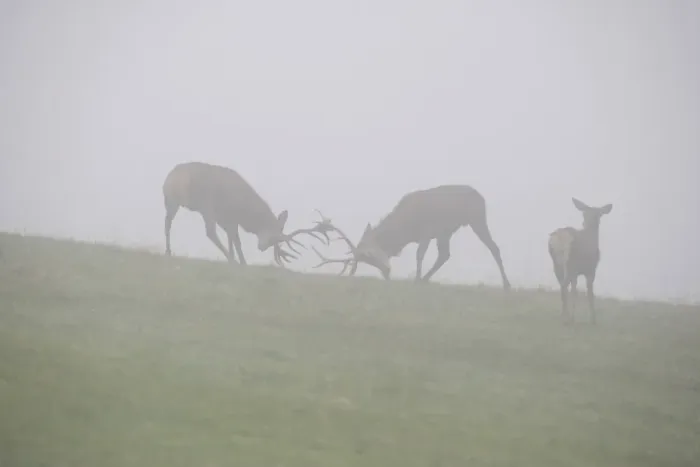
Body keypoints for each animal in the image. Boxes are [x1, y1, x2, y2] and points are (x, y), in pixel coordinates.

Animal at [162, 162, 331, 266]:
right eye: (273, 238)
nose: (262, 247)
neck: (246, 212)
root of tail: (171, 178)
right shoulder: (228, 215)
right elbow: (236, 240)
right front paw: (241, 261)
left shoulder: (225, 218)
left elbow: (231, 238)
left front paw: (234, 258)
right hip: (205, 204)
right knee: (209, 232)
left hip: (172, 201)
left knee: (167, 223)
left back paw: (168, 251)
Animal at [310, 184, 512, 290]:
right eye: (370, 261)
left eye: (369, 256)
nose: (387, 272)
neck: (404, 230)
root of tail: (481, 197)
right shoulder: (433, 233)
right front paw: (418, 278)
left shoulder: (426, 231)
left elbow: (419, 254)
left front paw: (415, 279)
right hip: (446, 231)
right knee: (444, 254)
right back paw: (426, 279)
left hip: (476, 219)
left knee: (493, 247)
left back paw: (507, 284)